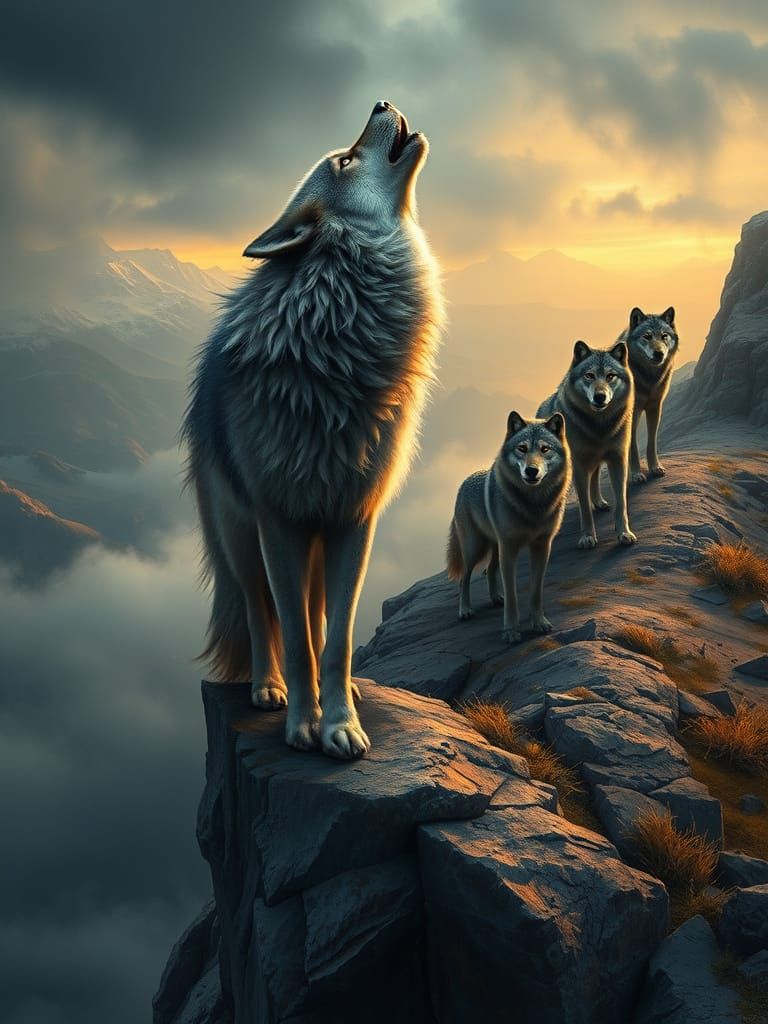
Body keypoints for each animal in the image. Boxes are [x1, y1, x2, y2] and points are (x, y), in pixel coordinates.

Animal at [182, 101, 444, 760]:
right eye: (344, 161)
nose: (381, 103)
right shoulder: (280, 521)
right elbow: (297, 639)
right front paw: (304, 723)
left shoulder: (355, 519)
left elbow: (337, 639)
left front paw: (341, 723)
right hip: (242, 539)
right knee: (261, 614)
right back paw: (267, 688)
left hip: (320, 548)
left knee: (320, 617)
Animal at [446, 411, 571, 643]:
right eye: (522, 448)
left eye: (545, 449)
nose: (531, 471)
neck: (532, 506)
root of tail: (464, 481)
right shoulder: (510, 549)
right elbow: (512, 596)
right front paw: (511, 631)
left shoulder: (542, 547)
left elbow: (536, 591)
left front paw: (539, 623)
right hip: (475, 549)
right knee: (464, 578)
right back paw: (465, 610)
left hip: (495, 547)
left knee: (490, 569)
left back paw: (496, 598)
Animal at [537, 341, 636, 549]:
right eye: (589, 375)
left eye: (610, 376)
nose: (600, 397)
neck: (600, 428)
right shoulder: (579, 466)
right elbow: (584, 507)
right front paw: (588, 537)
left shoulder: (618, 460)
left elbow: (621, 501)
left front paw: (624, 533)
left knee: (595, 478)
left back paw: (599, 502)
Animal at [617, 306, 679, 483]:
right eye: (647, 336)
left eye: (664, 336)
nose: (659, 353)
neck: (648, 378)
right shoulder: (633, 412)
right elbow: (633, 446)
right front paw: (636, 474)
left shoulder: (655, 407)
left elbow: (652, 442)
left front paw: (655, 467)